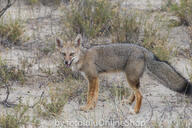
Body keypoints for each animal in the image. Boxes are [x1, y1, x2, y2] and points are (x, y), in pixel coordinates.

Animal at [55, 34, 192, 114]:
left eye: (71, 54)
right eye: (63, 54)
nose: (66, 62)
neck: (82, 57)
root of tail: (145, 50)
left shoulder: (92, 77)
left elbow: (90, 95)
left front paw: (87, 108)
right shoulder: (96, 78)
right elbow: (95, 96)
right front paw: (92, 107)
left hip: (130, 78)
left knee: (140, 95)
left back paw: (135, 111)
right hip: (131, 78)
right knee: (136, 92)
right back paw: (128, 102)